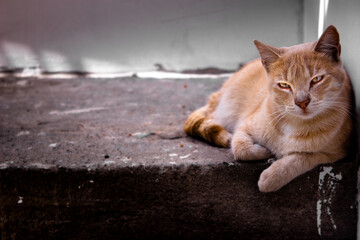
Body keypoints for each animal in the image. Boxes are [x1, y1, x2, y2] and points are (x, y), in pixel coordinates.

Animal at [184, 25, 352, 192]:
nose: (302, 102)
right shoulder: (243, 127)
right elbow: (241, 149)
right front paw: (264, 151)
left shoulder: (333, 153)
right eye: (284, 85)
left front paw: (271, 177)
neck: (294, 124)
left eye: (317, 79)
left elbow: (301, 158)